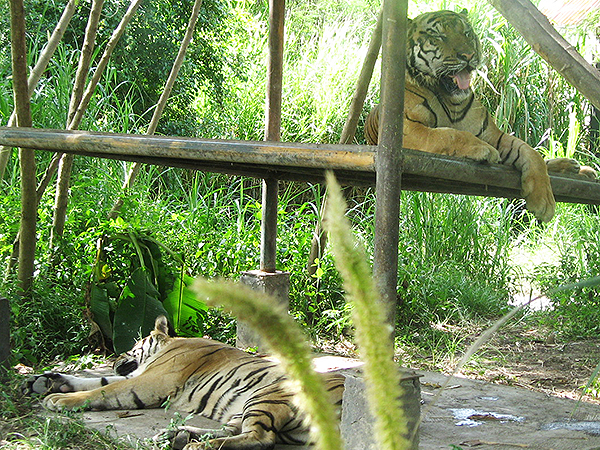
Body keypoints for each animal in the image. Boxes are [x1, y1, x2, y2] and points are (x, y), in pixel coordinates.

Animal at [25, 316, 344, 450]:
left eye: (132, 345)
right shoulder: (138, 376)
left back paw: (197, 447)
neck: (166, 346)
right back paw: (175, 436)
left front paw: (58, 400)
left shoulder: (150, 381)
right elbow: (95, 380)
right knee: (239, 431)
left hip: (271, 394)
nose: (115, 356)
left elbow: (105, 389)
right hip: (250, 407)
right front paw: (48, 382)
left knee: (262, 438)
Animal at [366, 8, 596, 223]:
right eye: (439, 36)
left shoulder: (494, 135)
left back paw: (577, 168)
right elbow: (447, 134)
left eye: (467, 33)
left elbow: (531, 152)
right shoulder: (407, 129)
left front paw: (544, 201)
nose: (468, 56)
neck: (450, 99)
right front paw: (483, 149)